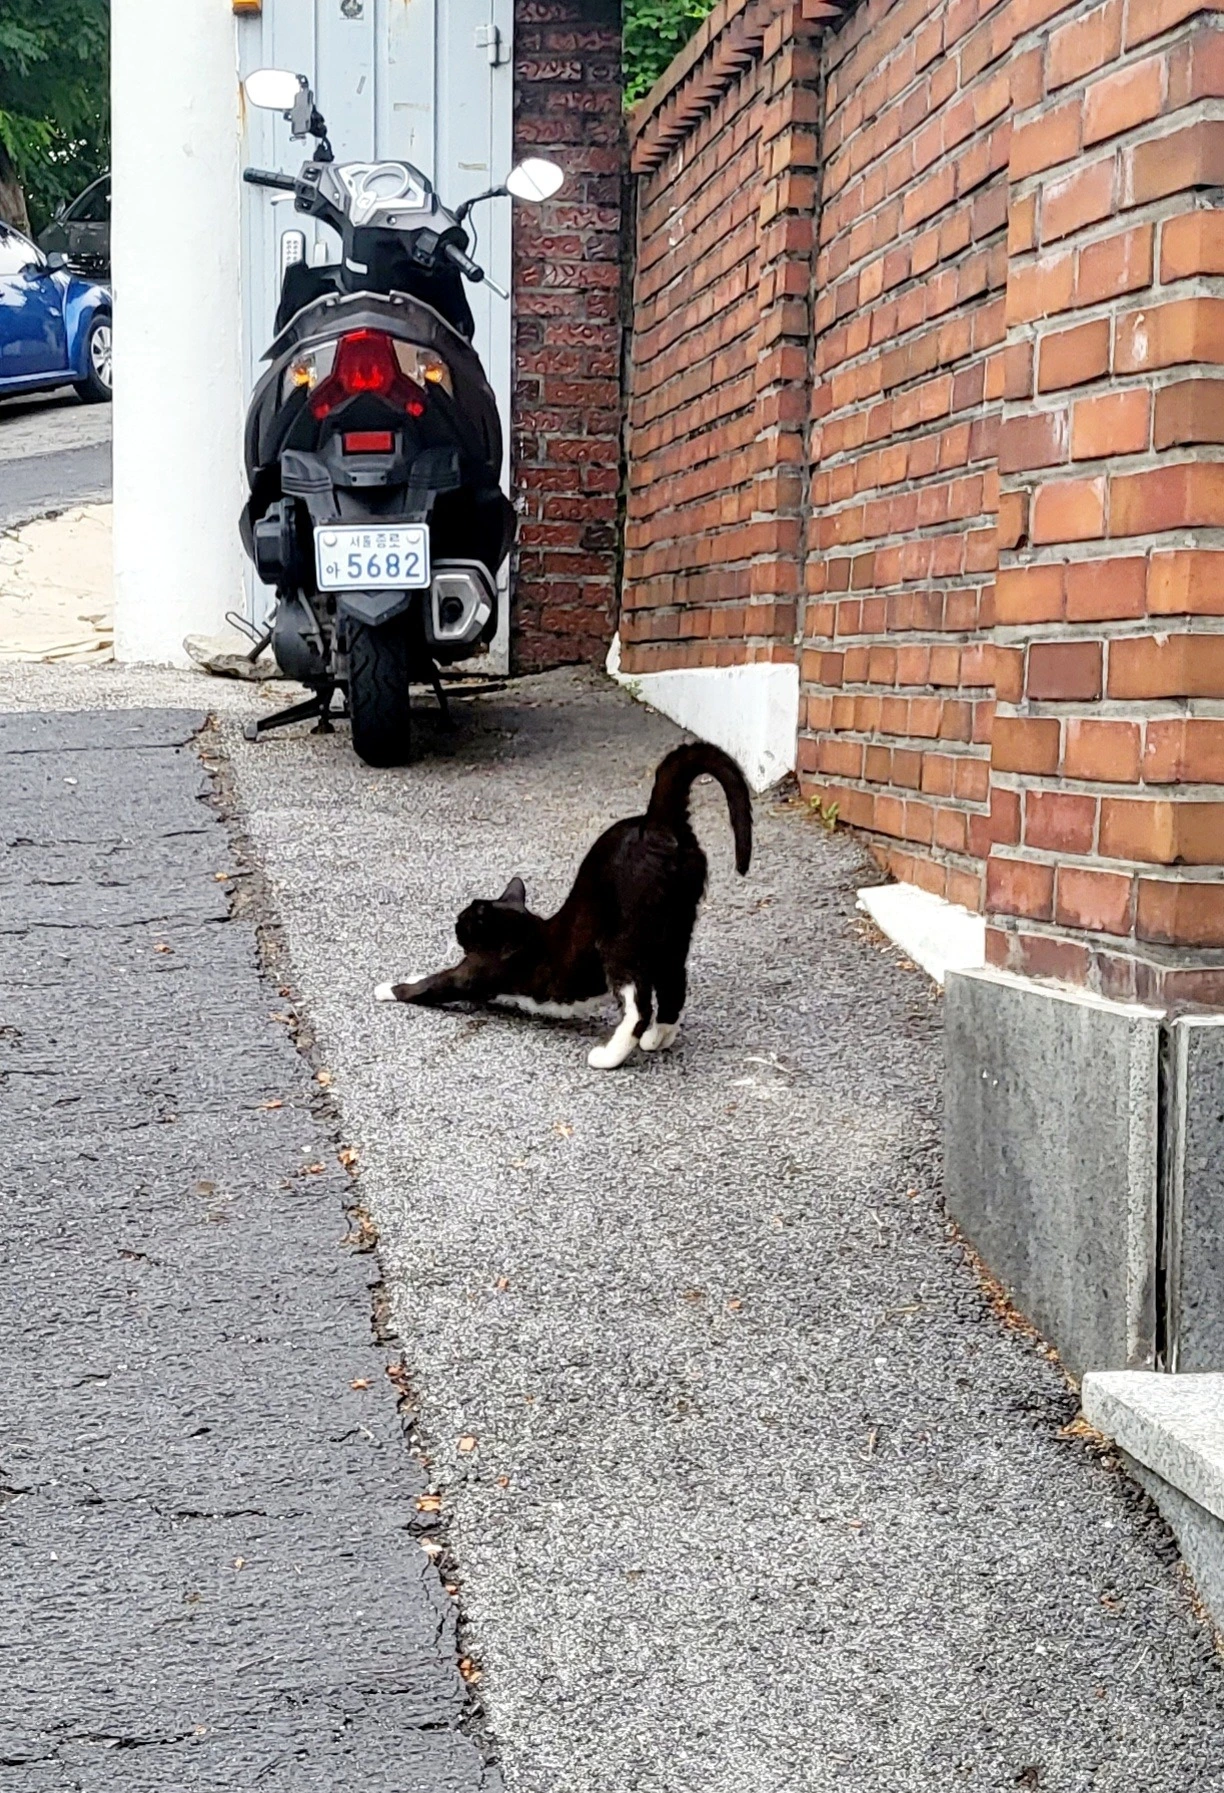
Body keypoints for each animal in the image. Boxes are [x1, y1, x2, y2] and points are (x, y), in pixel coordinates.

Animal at [374, 741, 752, 1068]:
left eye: (462, 921)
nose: (453, 924)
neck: (523, 930)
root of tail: (656, 823)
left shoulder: (473, 973)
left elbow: (431, 985)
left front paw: (388, 988)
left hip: (622, 944)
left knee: (639, 1007)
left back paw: (608, 1056)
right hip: (674, 935)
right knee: (675, 989)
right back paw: (658, 1038)